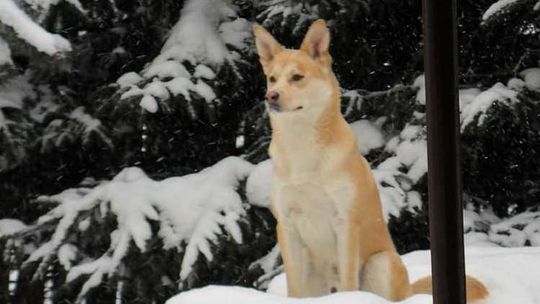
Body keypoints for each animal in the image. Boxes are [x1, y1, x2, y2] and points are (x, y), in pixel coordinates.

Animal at [253, 20, 490, 302]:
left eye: (297, 77)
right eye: (272, 78)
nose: (271, 96)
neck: (303, 150)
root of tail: (409, 288)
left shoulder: (345, 222)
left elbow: (348, 281)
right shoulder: (287, 227)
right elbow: (294, 287)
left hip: (381, 263)